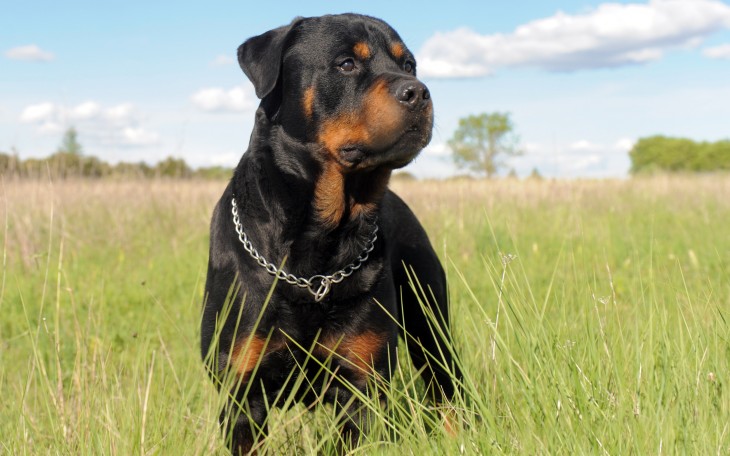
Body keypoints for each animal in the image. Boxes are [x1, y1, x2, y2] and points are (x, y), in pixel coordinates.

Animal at [199, 12, 460, 454]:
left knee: (448, 390)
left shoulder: (360, 385)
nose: (419, 92)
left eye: (409, 65)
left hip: (430, 320)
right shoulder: (242, 392)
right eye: (346, 64)